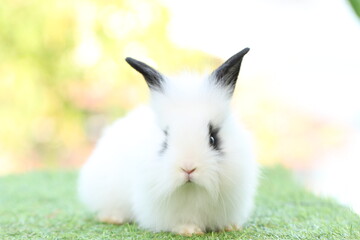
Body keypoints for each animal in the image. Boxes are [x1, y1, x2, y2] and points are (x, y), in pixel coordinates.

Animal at [78, 47, 258, 235]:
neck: (192, 190)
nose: (188, 168)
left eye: (213, 138)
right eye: (165, 138)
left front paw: (230, 227)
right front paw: (189, 231)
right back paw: (112, 218)